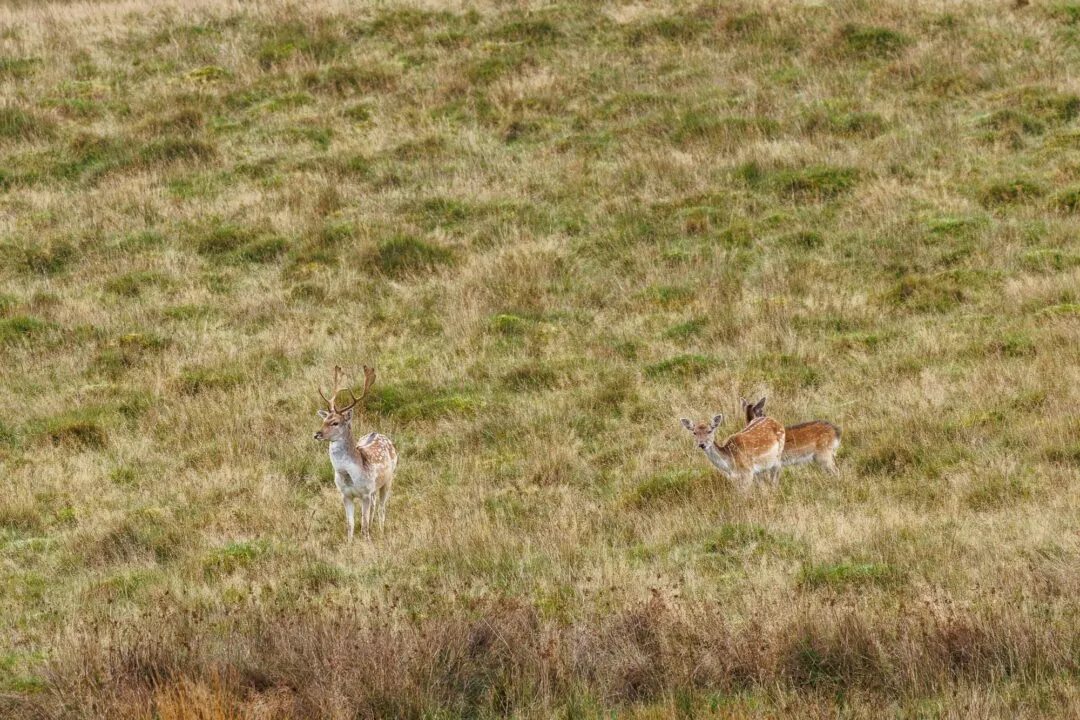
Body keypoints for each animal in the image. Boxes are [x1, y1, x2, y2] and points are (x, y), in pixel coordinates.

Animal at [314, 365, 398, 542]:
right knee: (374, 506)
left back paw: (380, 532)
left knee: (382, 508)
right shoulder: (345, 494)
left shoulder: (365, 492)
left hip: (388, 480)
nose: (317, 434)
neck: (349, 476)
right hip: (374, 489)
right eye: (324, 420)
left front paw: (367, 540)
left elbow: (363, 523)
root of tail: (381, 435)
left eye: (335, 422)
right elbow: (350, 524)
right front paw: (350, 543)